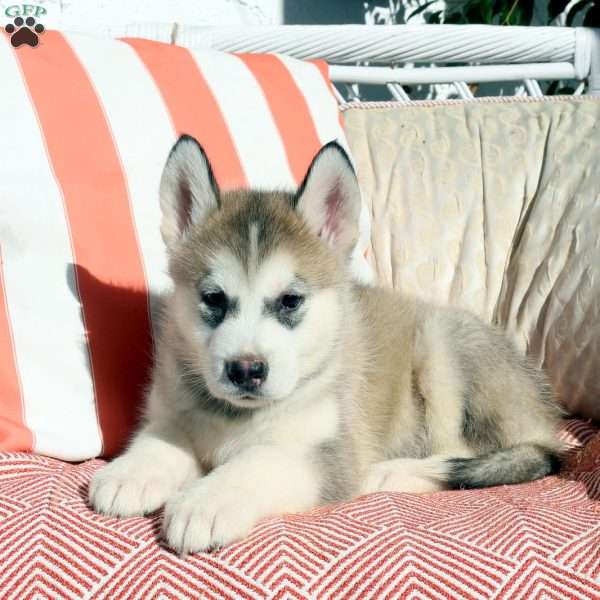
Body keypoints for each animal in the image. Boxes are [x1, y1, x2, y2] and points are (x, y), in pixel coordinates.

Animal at [89, 135, 564, 552]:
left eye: (290, 301)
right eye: (214, 299)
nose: (245, 369)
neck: (237, 417)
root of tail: (543, 410)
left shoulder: (323, 453)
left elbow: (258, 462)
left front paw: (205, 501)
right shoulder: (174, 409)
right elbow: (162, 436)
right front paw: (131, 473)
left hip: (441, 346)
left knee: (470, 454)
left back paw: (390, 472)